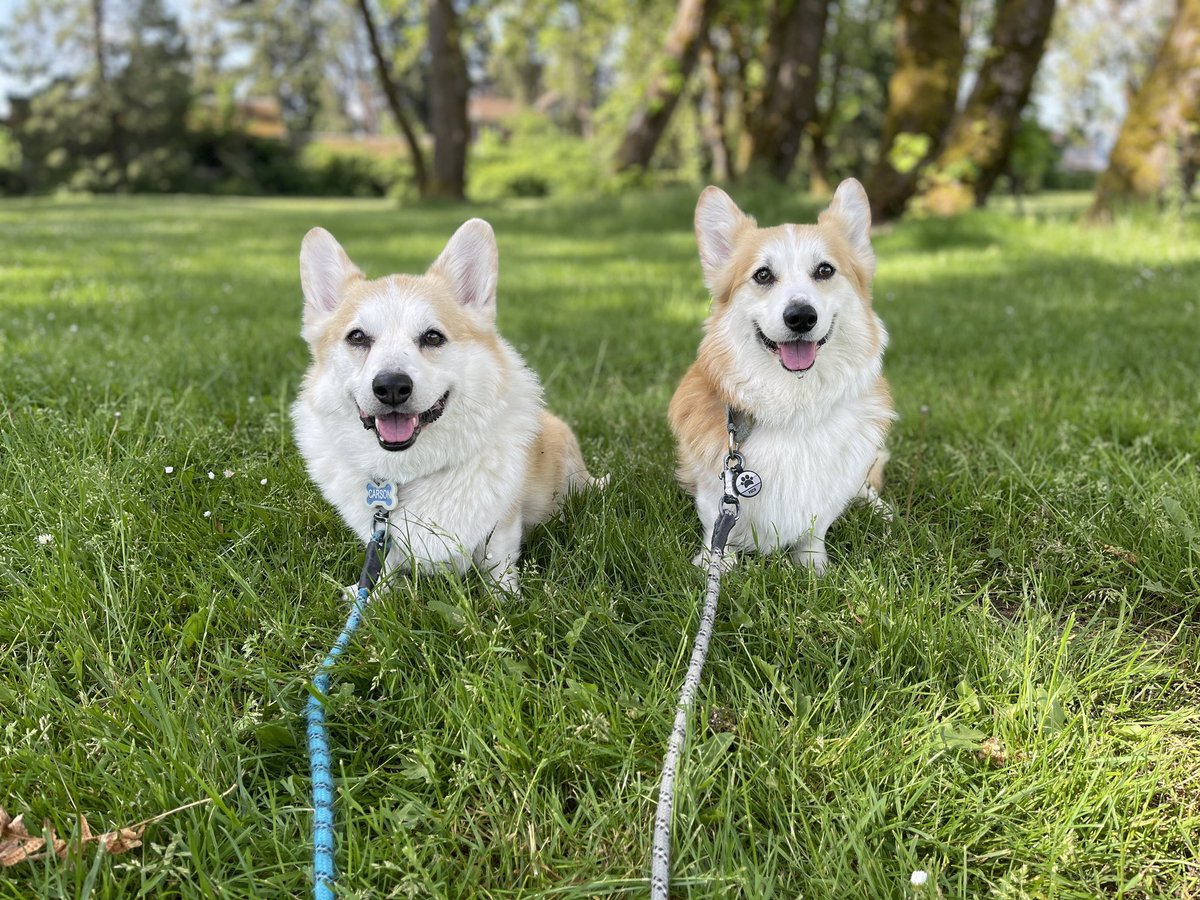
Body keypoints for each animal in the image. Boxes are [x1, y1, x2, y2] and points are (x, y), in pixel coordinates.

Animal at [291, 218, 600, 595]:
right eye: (358, 337)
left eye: (433, 337)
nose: (391, 387)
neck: (410, 471)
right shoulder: (381, 532)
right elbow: (383, 562)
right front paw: (374, 594)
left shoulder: (504, 521)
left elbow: (498, 559)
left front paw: (504, 598)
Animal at [672, 181, 897, 573]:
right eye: (763, 275)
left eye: (825, 270)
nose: (801, 316)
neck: (794, 404)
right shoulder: (714, 487)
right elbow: (718, 526)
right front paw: (717, 565)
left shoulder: (827, 494)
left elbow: (815, 529)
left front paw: (814, 569)